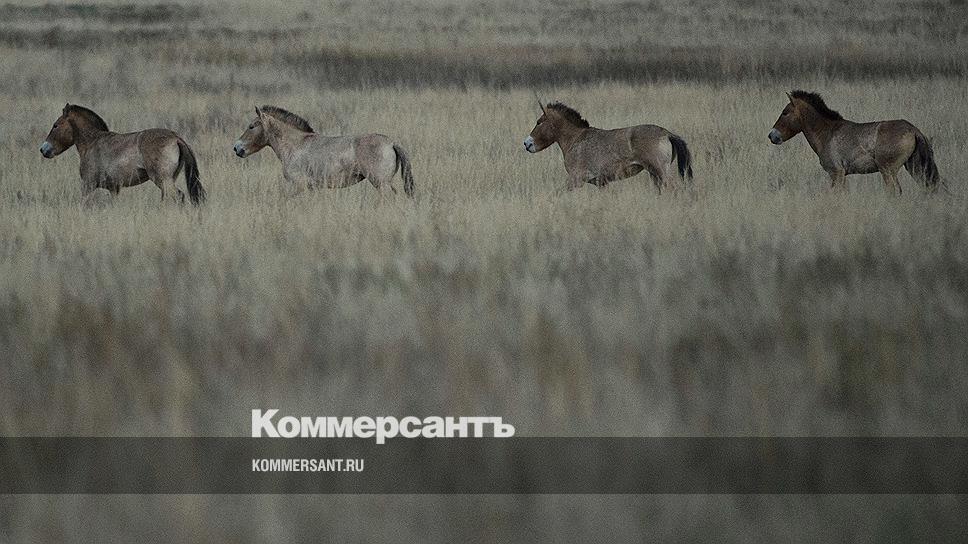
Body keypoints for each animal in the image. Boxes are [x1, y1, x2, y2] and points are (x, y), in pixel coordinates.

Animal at [40, 104, 206, 204]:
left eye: (56, 125)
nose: (43, 149)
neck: (92, 142)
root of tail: (176, 138)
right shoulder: (114, 188)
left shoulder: (88, 184)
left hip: (163, 180)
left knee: (178, 196)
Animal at [233, 106, 415, 198]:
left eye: (251, 126)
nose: (236, 148)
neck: (295, 145)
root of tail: (391, 143)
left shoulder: (298, 185)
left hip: (381, 183)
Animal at [523, 100, 693, 193]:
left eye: (539, 122)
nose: (527, 143)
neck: (575, 138)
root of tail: (667, 133)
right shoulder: (602, 183)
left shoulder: (575, 179)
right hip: (654, 174)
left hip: (660, 172)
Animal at [769, 90, 941, 194]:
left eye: (785, 113)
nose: (772, 136)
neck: (827, 132)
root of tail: (913, 129)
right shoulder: (841, 175)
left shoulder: (836, 173)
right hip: (912, 167)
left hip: (888, 170)